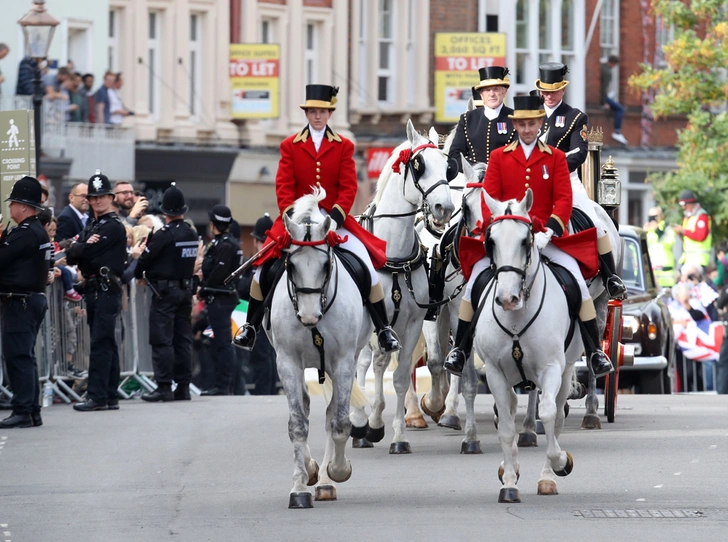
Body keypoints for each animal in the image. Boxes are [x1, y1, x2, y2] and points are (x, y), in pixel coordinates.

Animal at [268, 188, 372, 510]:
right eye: (290, 265)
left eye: (326, 265)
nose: (309, 316)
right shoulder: (287, 363)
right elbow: (297, 425)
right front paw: (300, 487)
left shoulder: (343, 362)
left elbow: (339, 423)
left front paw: (337, 471)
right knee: (305, 406)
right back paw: (312, 471)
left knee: (330, 415)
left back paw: (326, 480)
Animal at [352, 119, 456, 454]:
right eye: (418, 164)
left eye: (447, 167)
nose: (443, 207)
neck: (393, 256)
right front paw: (366, 422)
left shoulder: (412, 324)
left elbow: (399, 376)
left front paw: (397, 436)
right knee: (361, 364)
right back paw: (359, 423)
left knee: (381, 363)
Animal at [478, 189, 580, 504]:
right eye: (491, 241)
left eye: (526, 240)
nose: (507, 298)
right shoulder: (495, 373)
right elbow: (505, 427)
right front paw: (510, 482)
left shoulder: (551, 368)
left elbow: (547, 415)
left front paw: (560, 462)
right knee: (510, 410)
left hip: (565, 371)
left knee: (557, 415)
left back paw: (548, 476)